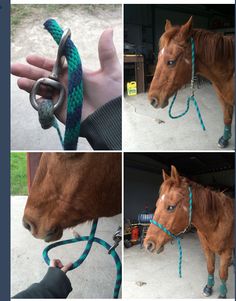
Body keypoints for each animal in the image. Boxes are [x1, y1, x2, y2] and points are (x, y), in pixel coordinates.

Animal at [144, 164, 234, 298]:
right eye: (157, 204)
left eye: (171, 207)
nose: (148, 244)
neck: (217, 221)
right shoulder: (207, 249)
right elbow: (210, 267)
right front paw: (208, 287)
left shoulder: (226, 251)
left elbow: (223, 273)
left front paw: (223, 294)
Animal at [148, 16, 235, 148]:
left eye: (171, 62)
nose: (152, 100)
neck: (229, 72)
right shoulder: (224, 99)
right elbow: (227, 118)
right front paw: (224, 139)